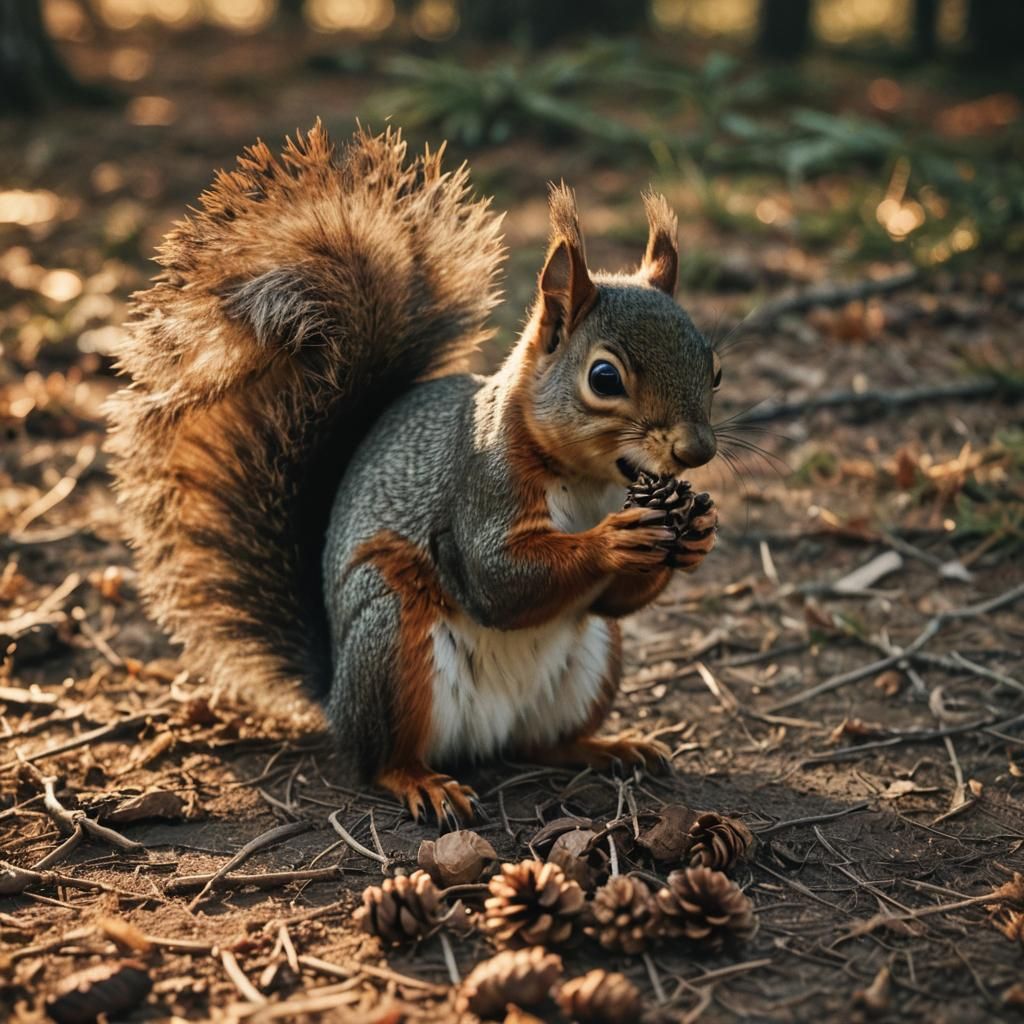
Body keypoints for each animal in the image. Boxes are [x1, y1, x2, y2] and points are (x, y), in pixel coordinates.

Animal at [108, 123, 721, 828]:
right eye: (603, 378)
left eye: (714, 368)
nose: (697, 450)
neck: (591, 482)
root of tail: (336, 697)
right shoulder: (478, 488)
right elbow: (497, 578)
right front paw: (614, 540)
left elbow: (609, 598)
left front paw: (695, 532)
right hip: (393, 639)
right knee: (382, 758)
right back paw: (423, 784)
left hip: (592, 660)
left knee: (544, 741)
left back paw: (607, 746)